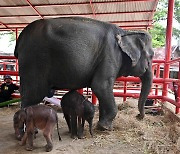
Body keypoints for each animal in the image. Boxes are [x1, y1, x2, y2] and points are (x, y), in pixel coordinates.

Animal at [14, 16, 154, 130]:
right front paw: (105, 128)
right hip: (34, 61)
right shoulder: (110, 56)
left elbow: (102, 91)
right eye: (152, 56)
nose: (138, 116)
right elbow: (100, 86)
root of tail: (20, 39)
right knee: (31, 96)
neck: (126, 32)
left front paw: (102, 125)